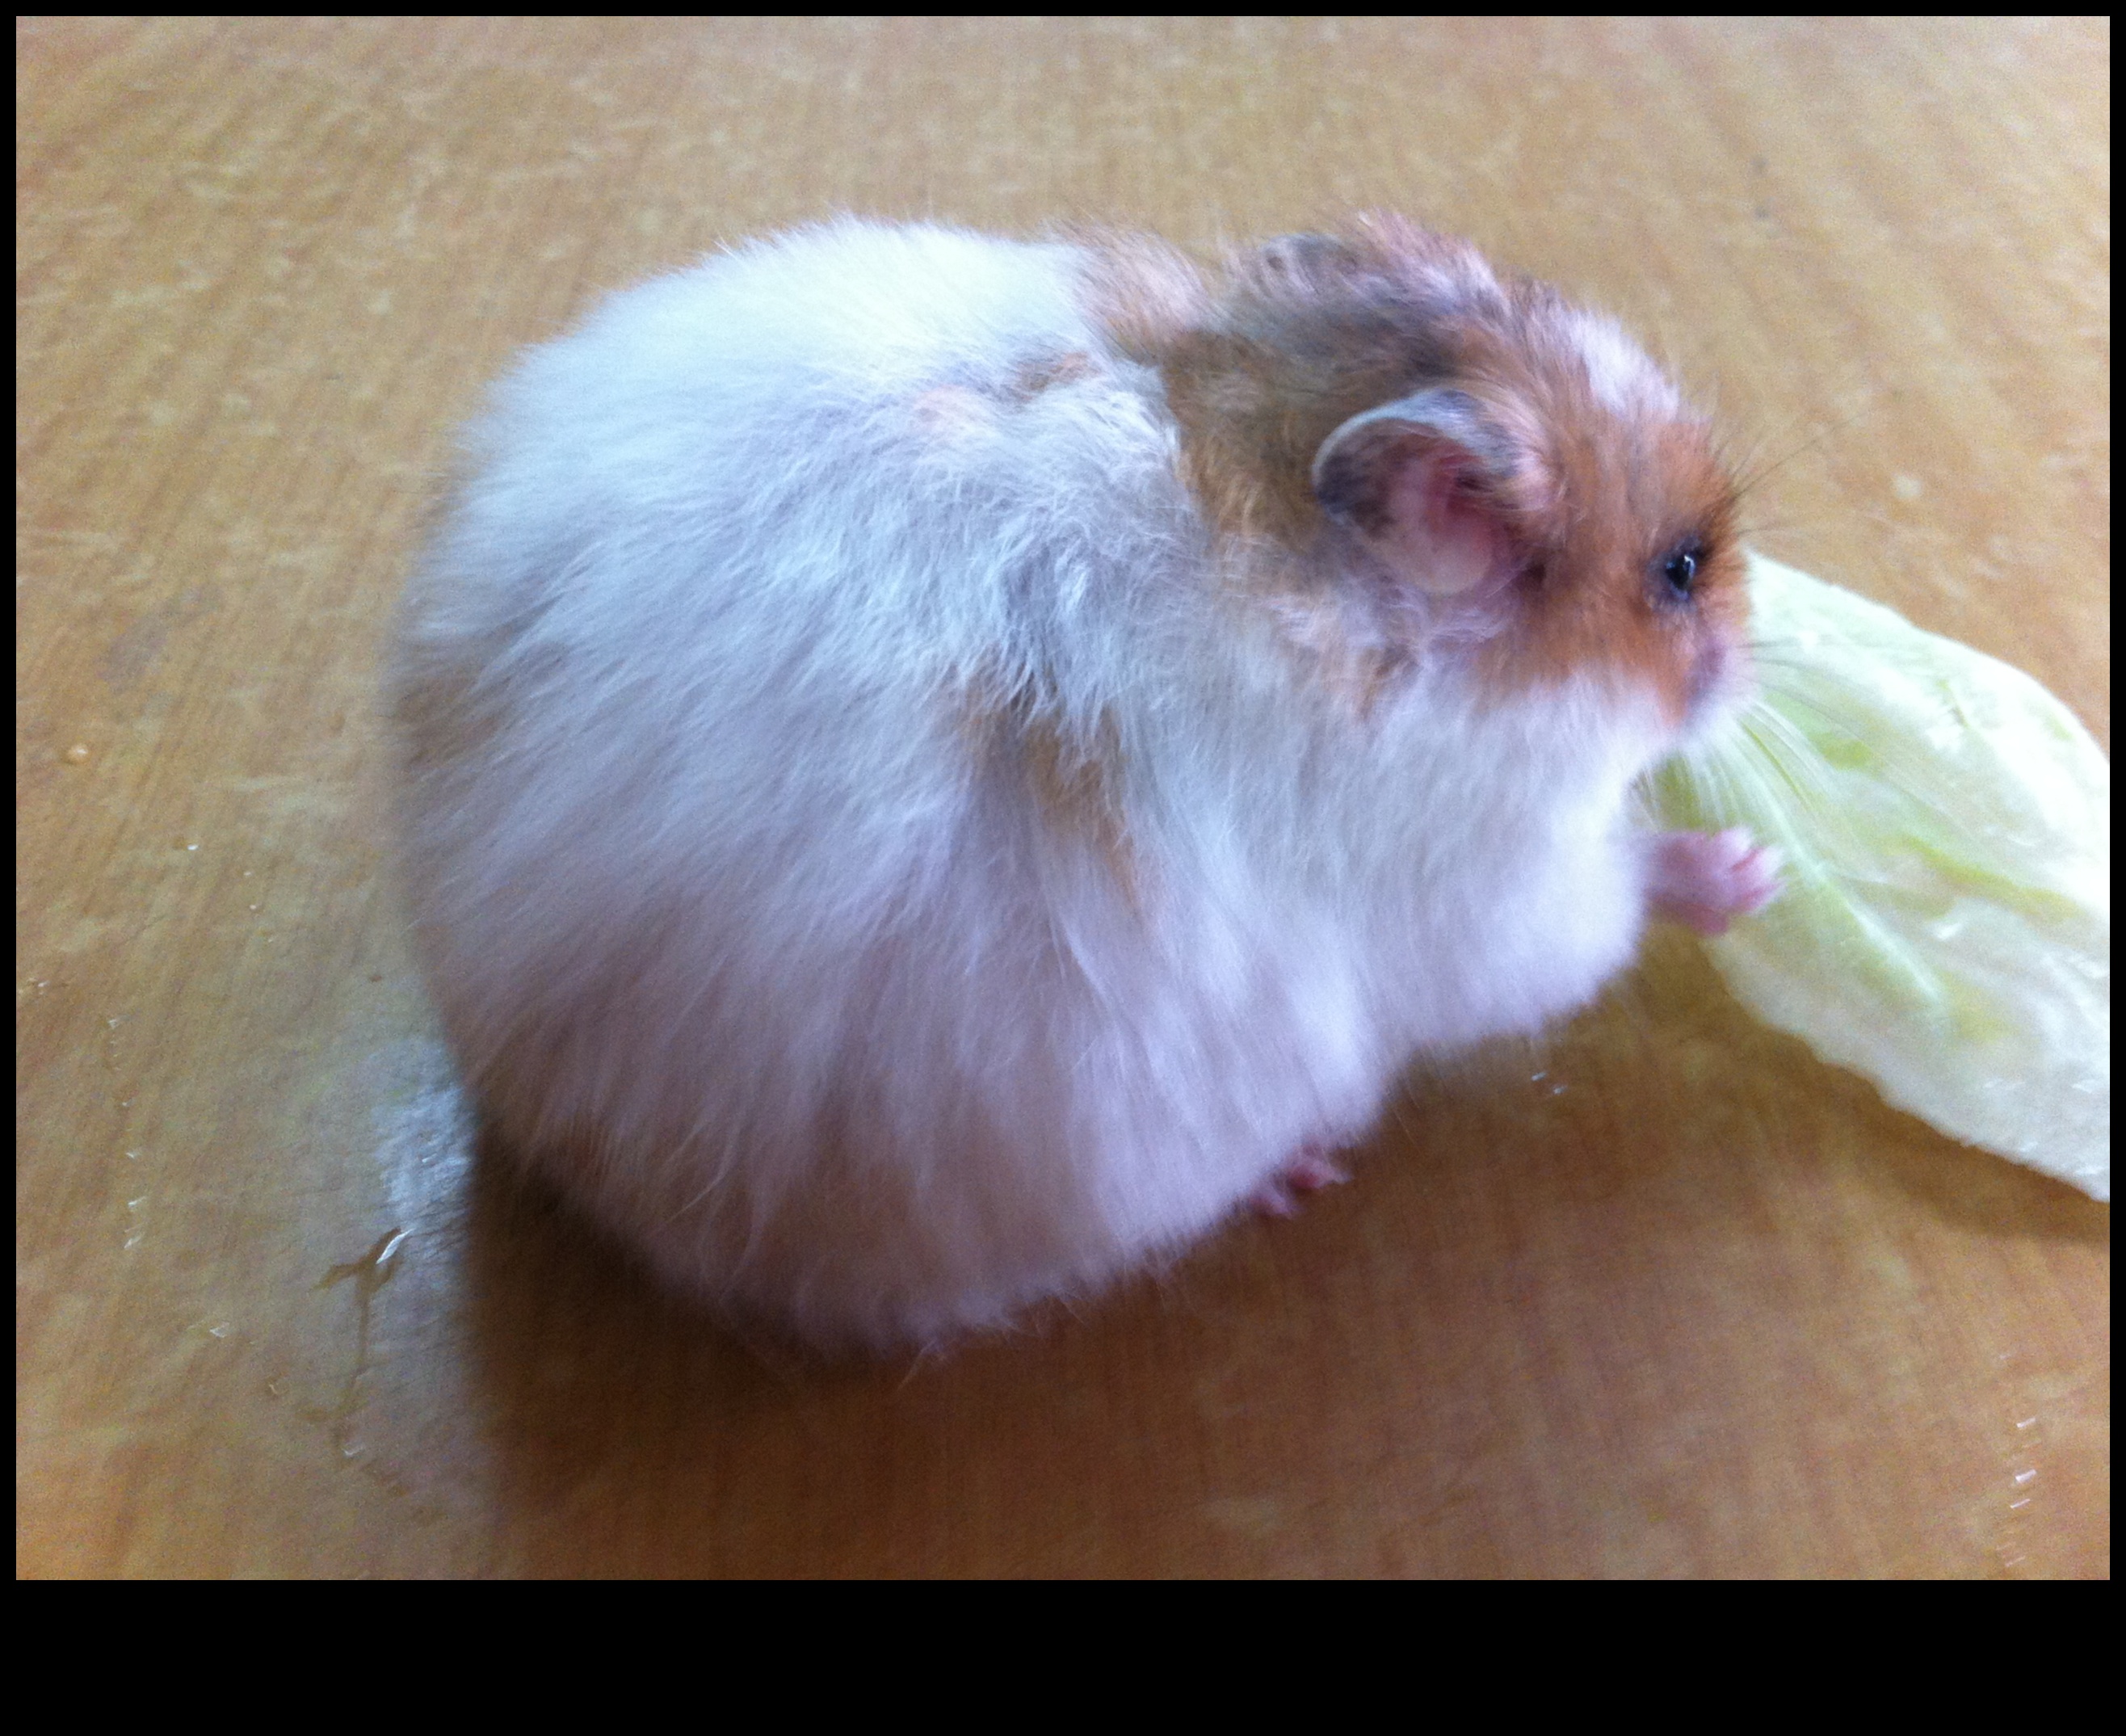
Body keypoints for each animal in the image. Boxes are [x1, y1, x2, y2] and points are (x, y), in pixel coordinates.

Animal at [391, 216, 1778, 1353]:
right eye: (1680, 570)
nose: (1751, 653)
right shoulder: (1501, 894)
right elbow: (1614, 903)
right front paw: (1745, 873)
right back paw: (1296, 1176)